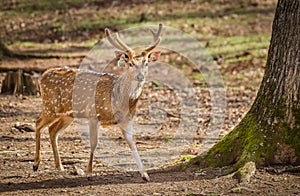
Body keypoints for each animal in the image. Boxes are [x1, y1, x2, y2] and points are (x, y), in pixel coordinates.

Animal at [33, 23, 163, 181]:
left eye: (146, 63)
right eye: (130, 63)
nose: (140, 76)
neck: (117, 98)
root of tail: (42, 76)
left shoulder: (126, 119)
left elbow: (132, 142)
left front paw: (144, 174)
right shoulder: (93, 114)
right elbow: (94, 143)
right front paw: (89, 170)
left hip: (67, 114)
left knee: (52, 130)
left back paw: (59, 166)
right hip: (50, 105)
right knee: (38, 123)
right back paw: (36, 164)